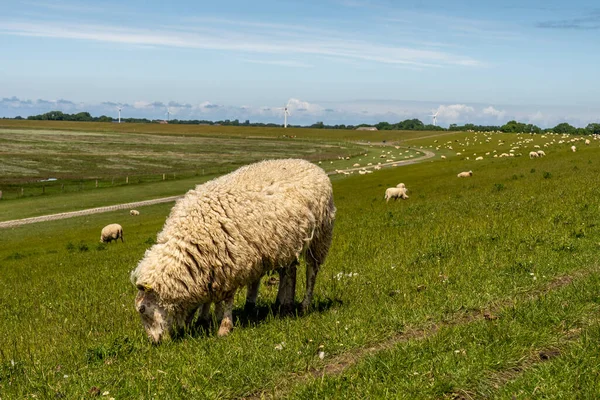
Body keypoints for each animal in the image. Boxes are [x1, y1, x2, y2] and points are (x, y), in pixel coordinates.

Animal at [131, 159, 336, 344]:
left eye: (143, 309)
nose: (154, 342)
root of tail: (311, 165)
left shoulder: (229, 265)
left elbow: (227, 299)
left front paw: (224, 327)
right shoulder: (209, 267)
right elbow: (209, 299)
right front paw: (204, 320)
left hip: (320, 236)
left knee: (311, 272)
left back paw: (304, 305)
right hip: (286, 244)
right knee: (289, 272)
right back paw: (283, 305)